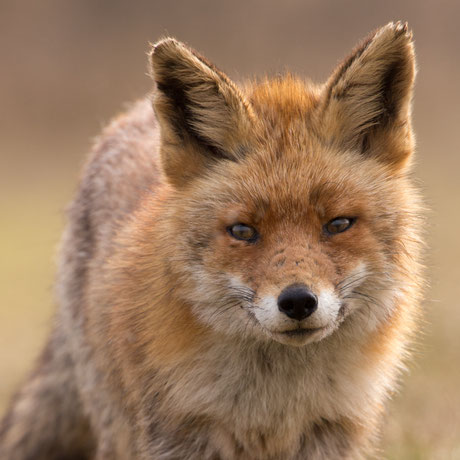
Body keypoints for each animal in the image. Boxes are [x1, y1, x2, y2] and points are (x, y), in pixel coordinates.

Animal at [0, 22, 424, 460]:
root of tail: (134, 111)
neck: (272, 407)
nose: (297, 302)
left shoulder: (334, 432)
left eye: (338, 224)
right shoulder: (175, 434)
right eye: (242, 231)